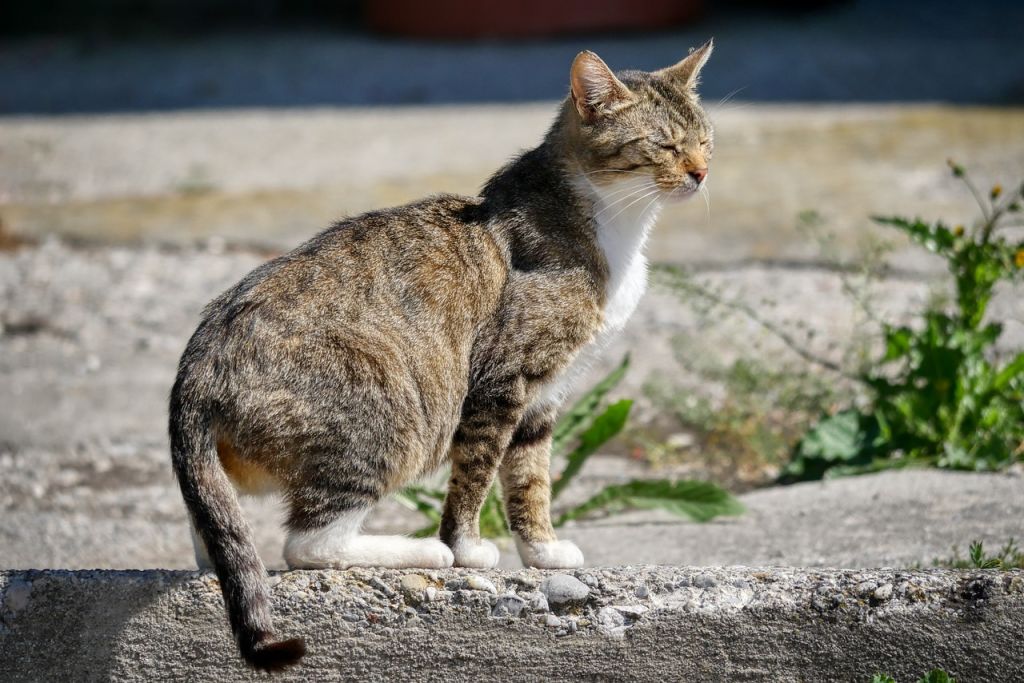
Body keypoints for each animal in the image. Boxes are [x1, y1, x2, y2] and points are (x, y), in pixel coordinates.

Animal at [169, 40, 712, 671]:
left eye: (706, 138)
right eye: (664, 144)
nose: (701, 172)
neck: (611, 222)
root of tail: (199, 363)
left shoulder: (544, 395)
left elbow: (530, 478)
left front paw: (543, 552)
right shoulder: (501, 383)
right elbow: (477, 472)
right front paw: (468, 547)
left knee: (216, 524)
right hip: (388, 416)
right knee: (309, 543)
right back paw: (421, 550)